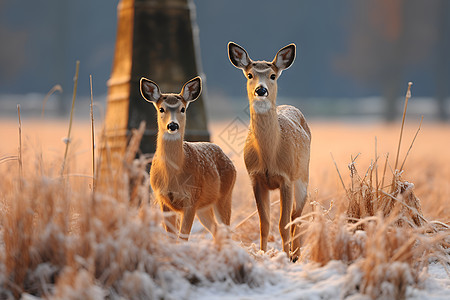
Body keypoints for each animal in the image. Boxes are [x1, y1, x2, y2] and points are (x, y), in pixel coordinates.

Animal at [140, 76, 236, 240]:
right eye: (161, 109)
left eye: (182, 109)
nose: (172, 125)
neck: (173, 175)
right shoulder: (162, 198)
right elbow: (171, 237)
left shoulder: (191, 198)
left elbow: (183, 237)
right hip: (204, 208)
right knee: (216, 230)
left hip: (224, 196)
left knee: (226, 231)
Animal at [227, 42, 312, 260]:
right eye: (250, 75)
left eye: (272, 75)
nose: (261, 89)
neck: (269, 156)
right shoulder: (255, 178)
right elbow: (264, 223)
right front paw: (263, 254)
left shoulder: (286, 178)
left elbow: (283, 223)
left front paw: (285, 256)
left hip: (303, 176)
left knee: (297, 215)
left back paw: (295, 254)